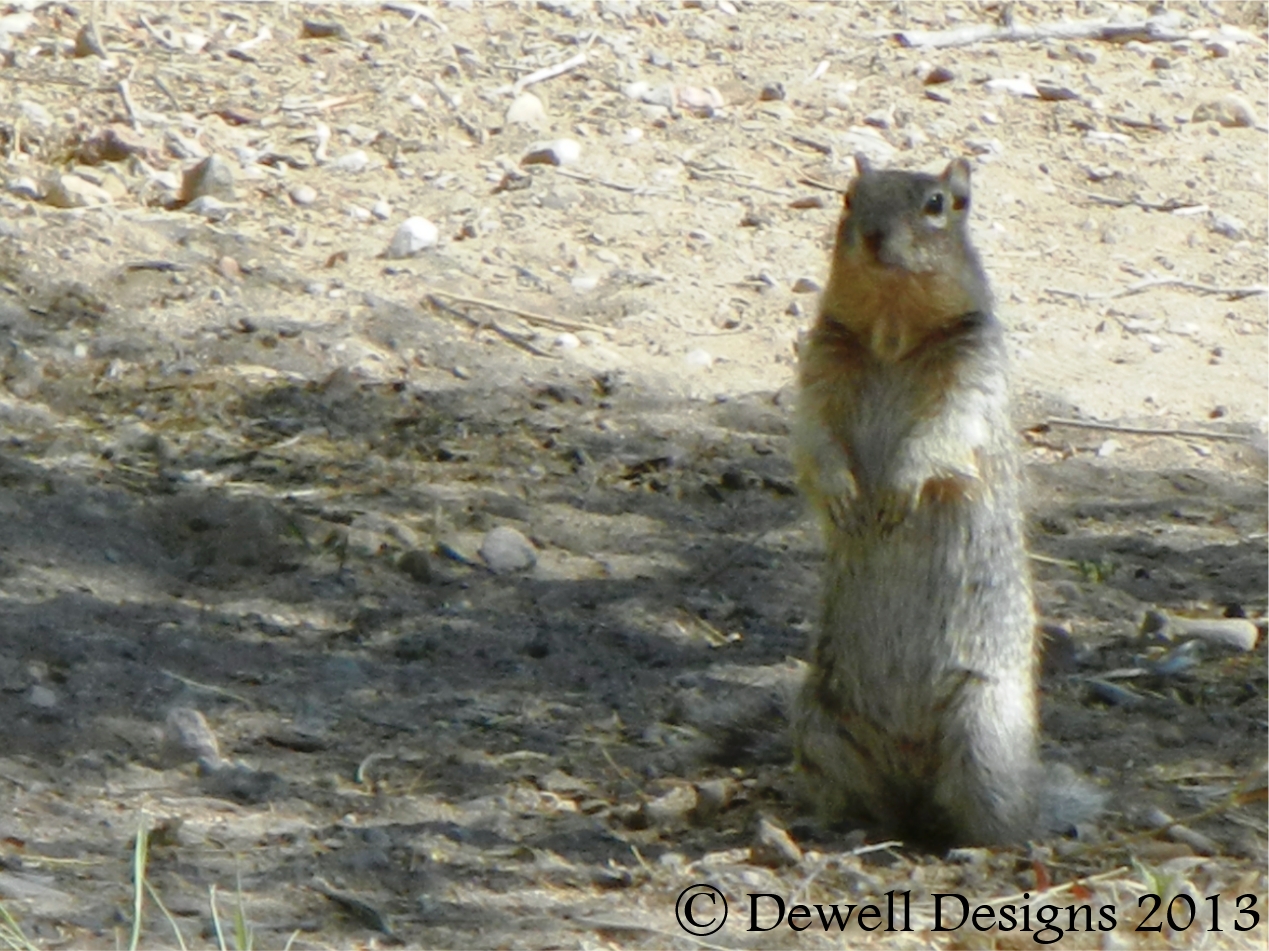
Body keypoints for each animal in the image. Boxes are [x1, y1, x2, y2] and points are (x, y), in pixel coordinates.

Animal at [791, 157, 1101, 853]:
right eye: (848, 197)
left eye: (939, 204)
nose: (873, 235)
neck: (892, 332)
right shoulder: (819, 362)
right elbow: (816, 436)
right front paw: (845, 495)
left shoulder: (971, 371)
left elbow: (938, 434)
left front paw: (895, 491)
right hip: (819, 725)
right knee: (876, 805)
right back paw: (839, 826)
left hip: (983, 732)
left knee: (996, 818)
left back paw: (980, 845)